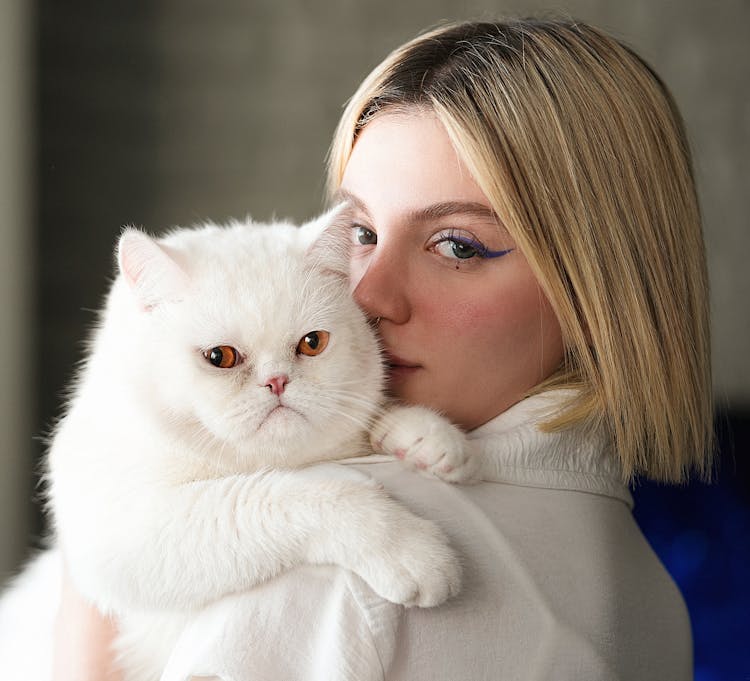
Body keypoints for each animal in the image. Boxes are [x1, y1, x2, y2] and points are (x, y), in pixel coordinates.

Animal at [0, 209, 476, 680]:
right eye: (219, 357)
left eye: (312, 343)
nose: (277, 381)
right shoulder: (128, 531)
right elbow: (306, 494)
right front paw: (413, 551)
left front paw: (429, 437)